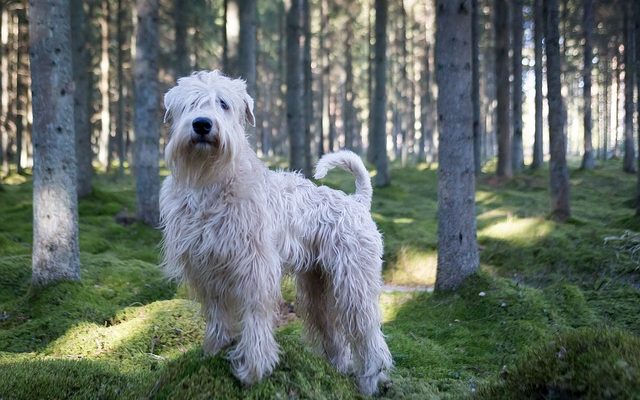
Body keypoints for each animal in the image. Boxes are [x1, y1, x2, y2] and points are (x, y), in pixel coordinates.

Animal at [159, 71, 390, 394]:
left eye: (223, 103)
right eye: (190, 102)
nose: (202, 124)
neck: (210, 183)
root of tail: (357, 202)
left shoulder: (254, 267)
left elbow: (255, 316)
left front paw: (253, 369)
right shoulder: (205, 266)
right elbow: (217, 314)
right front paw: (215, 350)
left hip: (353, 282)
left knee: (368, 333)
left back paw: (370, 380)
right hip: (317, 285)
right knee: (332, 331)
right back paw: (337, 368)